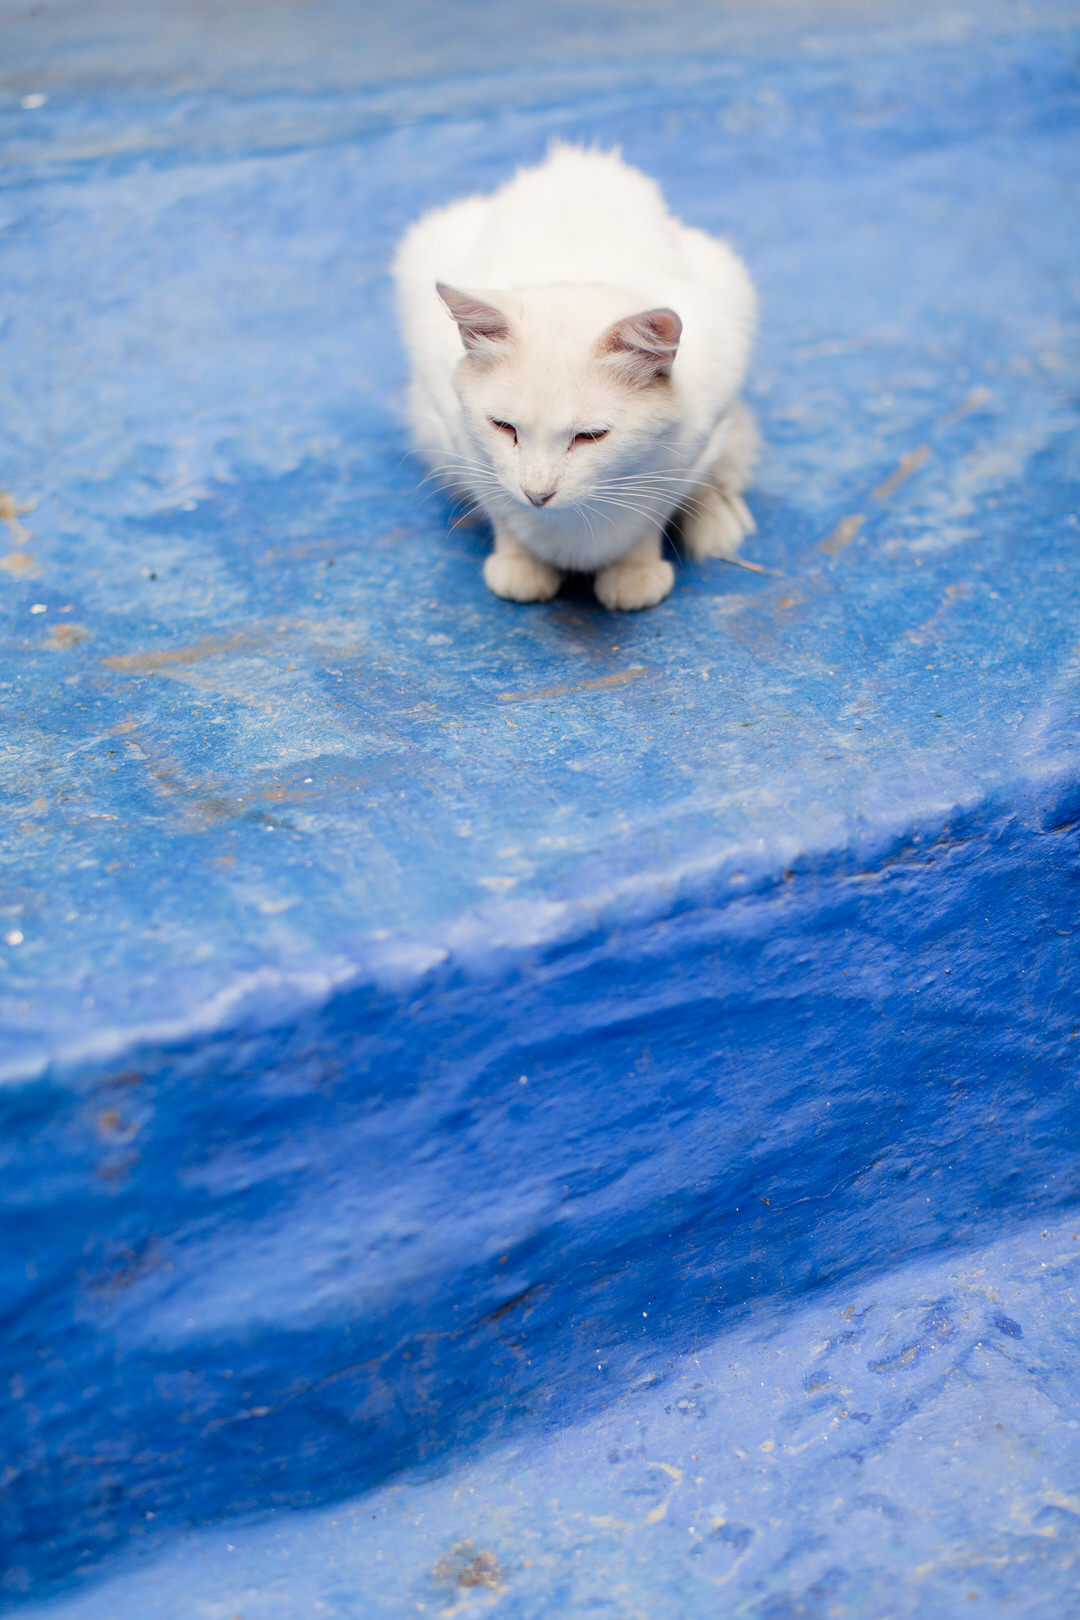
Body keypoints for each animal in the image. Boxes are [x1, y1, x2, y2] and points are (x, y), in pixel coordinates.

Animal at [393, 144, 757, 612]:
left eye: (591, 436)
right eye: (503, 427)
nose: (537, 495)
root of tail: (578, 159)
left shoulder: (699, 437)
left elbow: (654, 508)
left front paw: (634, 568)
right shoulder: (451, 429)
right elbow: (496, 502)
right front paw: (520, 560)